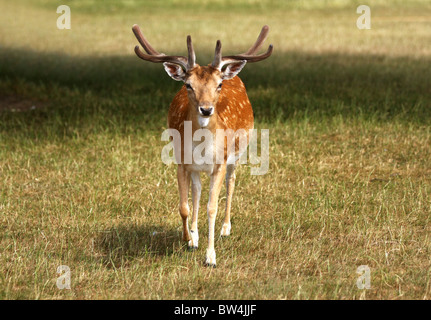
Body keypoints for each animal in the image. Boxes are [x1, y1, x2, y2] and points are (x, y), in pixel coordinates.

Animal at [132, 23, 274, 266]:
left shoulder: (219, 163)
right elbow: (184, 206)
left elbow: (212, 208)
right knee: (197, 191)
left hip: (236, 155)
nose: (206, 109)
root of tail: (232, 74)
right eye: (189, 85)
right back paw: (195, 235)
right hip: (196, 168)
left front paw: (210, 257)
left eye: (219, 85)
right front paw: (189, 238)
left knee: (231, 182)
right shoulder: (181, 163)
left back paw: (226, 228)